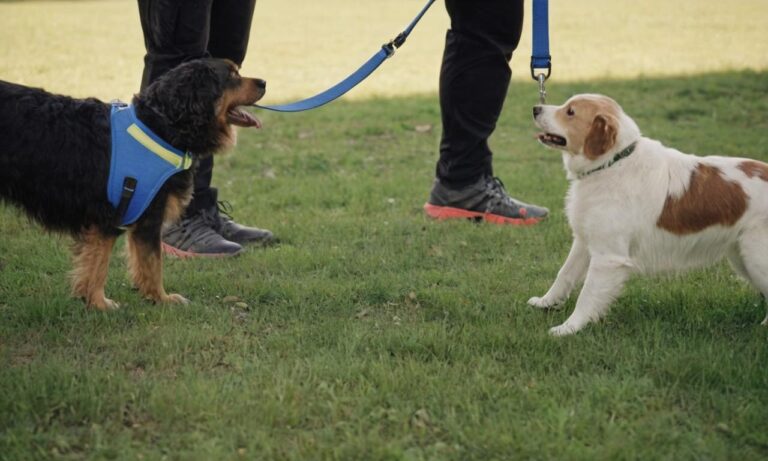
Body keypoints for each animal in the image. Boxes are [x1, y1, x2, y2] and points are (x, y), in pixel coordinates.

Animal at [0, 57, 264, 310]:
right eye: (231, 76)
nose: (264, 82)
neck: (162, 126)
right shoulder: (122, 215)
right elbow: (137, 263)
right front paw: (110, 303)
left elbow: (132, 262)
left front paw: (143, 298)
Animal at [532, 93, 764, 336]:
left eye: (570, 112)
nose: (535, 108)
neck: (613, 163)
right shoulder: (585, 241)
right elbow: (564, 274)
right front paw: (546, 302)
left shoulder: (608, 257)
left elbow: (587, 296)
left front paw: (568, 328)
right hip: (742, 258)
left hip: (756, 258)